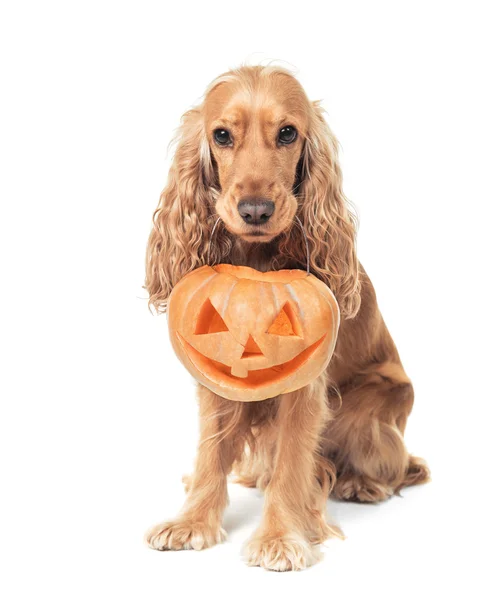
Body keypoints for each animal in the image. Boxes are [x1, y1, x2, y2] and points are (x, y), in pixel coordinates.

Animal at [143, 65, 430, 572]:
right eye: (221, 135)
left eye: (288, 133)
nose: (256, 210)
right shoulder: (215, 383)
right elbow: (212, 450)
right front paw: (192, 521)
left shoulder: (305, 389)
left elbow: (293, 464)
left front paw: (280, 536)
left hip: (369, 408)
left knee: (394, 465)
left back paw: (361, 483)